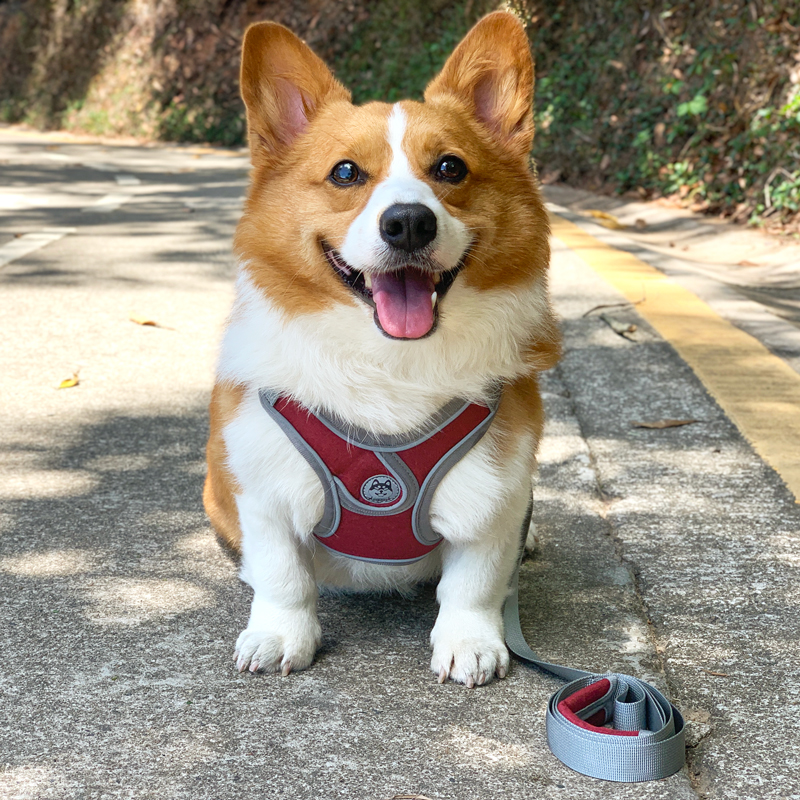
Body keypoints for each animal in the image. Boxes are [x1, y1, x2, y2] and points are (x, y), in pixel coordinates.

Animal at [203, 10, 560, 688]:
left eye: (450, 168)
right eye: (346, 173)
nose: (409, 223)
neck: (391, 360)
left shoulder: (493, 491)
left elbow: (474, 582)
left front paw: (470, 642)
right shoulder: (267, 489)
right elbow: (284, 575)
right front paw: (279, 635)